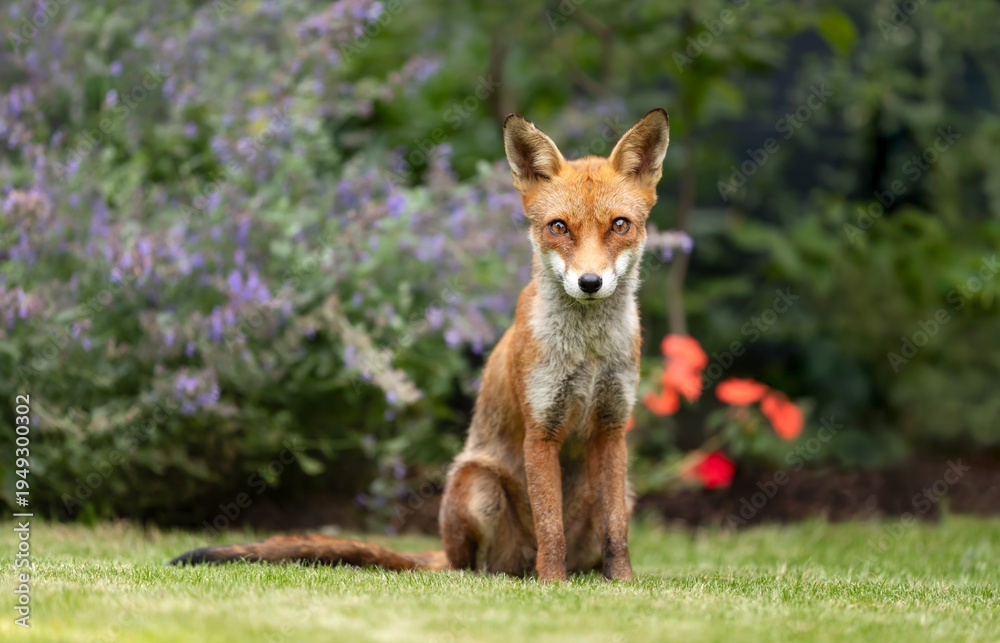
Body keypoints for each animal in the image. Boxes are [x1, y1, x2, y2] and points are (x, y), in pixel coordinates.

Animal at [170, 108, 670, 582]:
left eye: (620, 226)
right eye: (559, 227)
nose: (590, 283)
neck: (587, 353)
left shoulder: (612, 428)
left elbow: (617, 532)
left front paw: (622, 584)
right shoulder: (541, 429)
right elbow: (552, 529)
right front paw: (553, 586)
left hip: (623, 489)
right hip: (476, 483)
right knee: (477, 566)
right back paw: (512, 577)